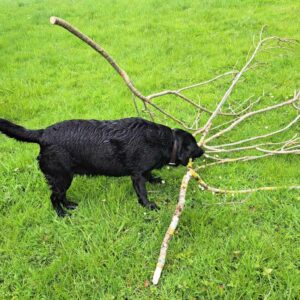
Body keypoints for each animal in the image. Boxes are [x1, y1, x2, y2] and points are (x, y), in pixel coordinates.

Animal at [0, 116, 204, 216]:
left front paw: (155, 180)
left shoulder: (141, 171)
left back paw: (70, 206)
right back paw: (61, 214)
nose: (203, 151)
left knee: (61, 196)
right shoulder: (136, 174)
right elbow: (143, 192)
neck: (165, 141)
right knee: (54, 198)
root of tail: (43, 134)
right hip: (61, 177)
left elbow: (149, 174)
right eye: (194, 145)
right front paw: (149, 206)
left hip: (64, 178)